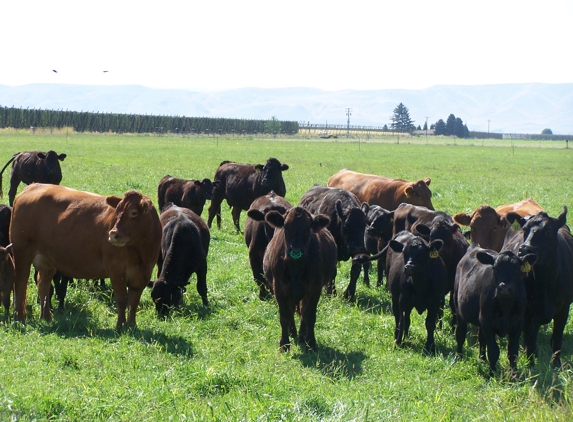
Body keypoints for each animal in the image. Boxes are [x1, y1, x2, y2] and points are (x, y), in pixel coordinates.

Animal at [10, 183, 162, 328]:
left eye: (134, 213)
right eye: (117, 211)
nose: (113, 234)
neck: (141, 253)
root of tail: (33, 186)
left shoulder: (142, 275)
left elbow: (134, 301)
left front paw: (131, 325)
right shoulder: (116, 271)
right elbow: (122, 299)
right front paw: (120, 326)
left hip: (46, 261)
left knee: (43, 286)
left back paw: (46, 317)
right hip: (21, 252)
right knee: (20, 284)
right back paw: (19, 318)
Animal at [262, 206, 338, 352]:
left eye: (308, 228)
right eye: (286, 227)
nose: (296, 250)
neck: (295, 268)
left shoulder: (315, 289)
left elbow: (309, 315)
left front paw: (311, 343)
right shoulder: (279, 289)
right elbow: (285, 316)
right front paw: (284, 344)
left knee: (302, 311)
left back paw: (302, 336)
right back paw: (293, 332)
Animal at [452, 246, 536, 374]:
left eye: (516, 270)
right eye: (495, 269)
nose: (504, 288)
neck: (506, 305)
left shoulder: (518, 323)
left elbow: (513, 352)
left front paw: (514, 374)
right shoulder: (487, 321)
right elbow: (493, 350)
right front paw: (491, 373)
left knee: (481, 340)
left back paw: (482, 359)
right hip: (459, 311)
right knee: (460, 335)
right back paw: (459, 357)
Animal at [500, 208, 572, 366]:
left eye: (548, 230)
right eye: (524, 230)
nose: (525, 249)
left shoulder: (564, 308)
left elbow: (557, 338)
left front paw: (556, 364)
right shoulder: (527, 311)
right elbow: (530, 339)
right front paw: (531, 364)